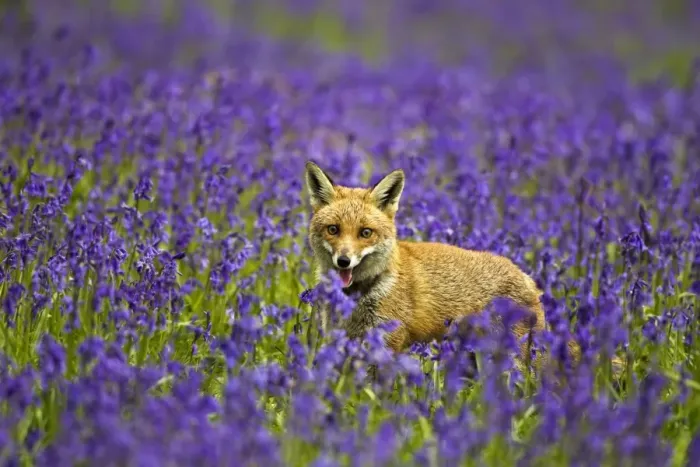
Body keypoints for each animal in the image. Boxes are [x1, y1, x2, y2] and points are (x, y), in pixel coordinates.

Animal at [303, 161, 609, 375]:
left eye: (365, 233)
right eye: (333, 229)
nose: (343, 261)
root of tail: (529, 279)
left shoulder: (387, 344)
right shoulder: (341, 339)